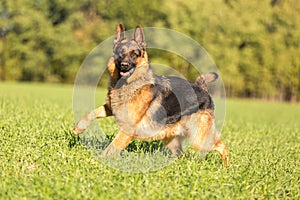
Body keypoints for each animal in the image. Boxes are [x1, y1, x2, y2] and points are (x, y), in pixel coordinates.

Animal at [72, 24, 230, 166]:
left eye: (134, 54)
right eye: (120, 53)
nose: (124, 65)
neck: (129, 84)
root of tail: (202, 88)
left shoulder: (127, 130)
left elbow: (111, 148)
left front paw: (98, 162)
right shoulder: (111, 108)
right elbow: (91, 113)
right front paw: (79, 127)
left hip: (199, 140)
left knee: (222, 145)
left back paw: (226, 167)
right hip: (171, 140)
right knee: (181, 155)